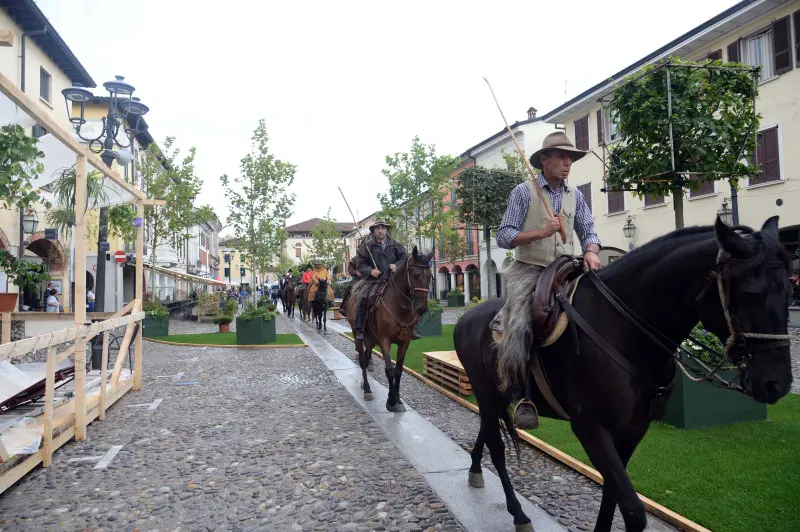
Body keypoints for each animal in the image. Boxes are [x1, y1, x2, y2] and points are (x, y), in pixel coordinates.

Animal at [342, 247, 432, 414]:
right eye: (416, 275)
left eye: (430, 276)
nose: (422, 308)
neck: (399, 307)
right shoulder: (385, 341)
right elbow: (389, 370)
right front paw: (390, 401)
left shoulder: (405, 342)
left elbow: (399, 370)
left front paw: (397, 400)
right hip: (357, 333)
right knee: (362, 360)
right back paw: (367, 389)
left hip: (370, 339)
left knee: (367, 355)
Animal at [456, 217, 792, 532]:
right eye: (750, 293)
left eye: (789, 289)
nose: (778, 383)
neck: (623, 328)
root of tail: (464, 319)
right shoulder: (591, 428)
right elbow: (632, 509)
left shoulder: (633, 428)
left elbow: (612, 496)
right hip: (486, 393)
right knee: (497, 447)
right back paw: (518, 512)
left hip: (497, 397)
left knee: (486, 433)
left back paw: (475, 470)